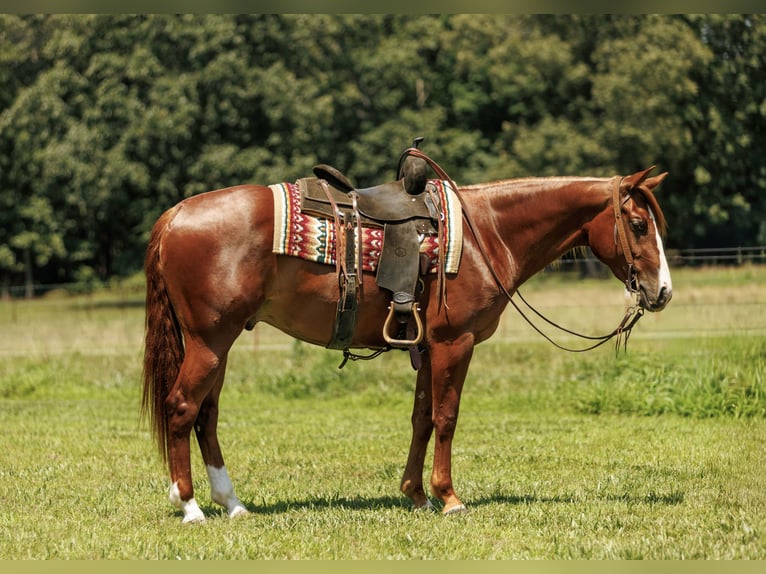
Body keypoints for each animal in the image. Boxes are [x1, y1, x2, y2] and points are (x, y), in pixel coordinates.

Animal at [141, 164, 672, 523]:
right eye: (639, 225)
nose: (662, 291)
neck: (486, 233)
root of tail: (176, 214)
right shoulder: (455, 343)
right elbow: (447, 417)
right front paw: (449, 497)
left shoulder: (428, 348)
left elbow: (421, 418)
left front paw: (416, 494)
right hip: (209, 341)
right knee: (182, 407)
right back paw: (190, 505)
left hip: (221, 344)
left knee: (206, 416)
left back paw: (231, 503)